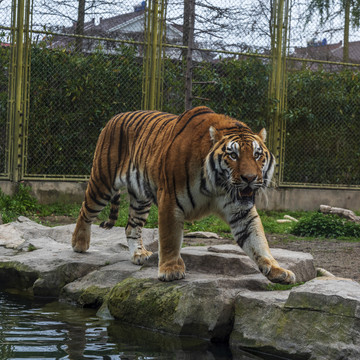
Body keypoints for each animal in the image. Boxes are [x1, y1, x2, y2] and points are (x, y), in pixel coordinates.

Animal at [72, 106, 296, 284]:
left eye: (257, 155)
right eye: (233, 155)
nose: (250, 178)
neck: (217, 185)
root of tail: (114, 117)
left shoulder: (241, 210)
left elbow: (258, 241)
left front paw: (278, 270)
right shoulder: (170, 200)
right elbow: (170, 238)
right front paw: (171, 270)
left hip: (140, 198)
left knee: (131, 226)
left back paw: (139, 254)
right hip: (103, 182)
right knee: (85, 209)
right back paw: (79, 244)